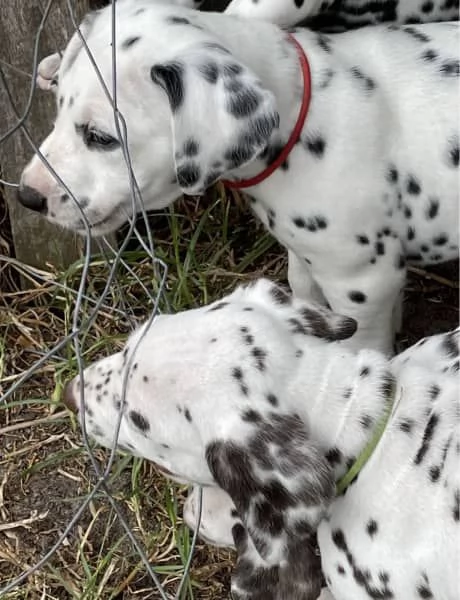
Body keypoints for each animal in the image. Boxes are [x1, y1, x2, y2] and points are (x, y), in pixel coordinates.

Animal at [16, 1, 458, 356]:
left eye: (101, 137)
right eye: (58, 109)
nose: (27, 196)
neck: (307, 112)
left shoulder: (364, 281)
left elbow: (362, 346)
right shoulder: (309, 259)